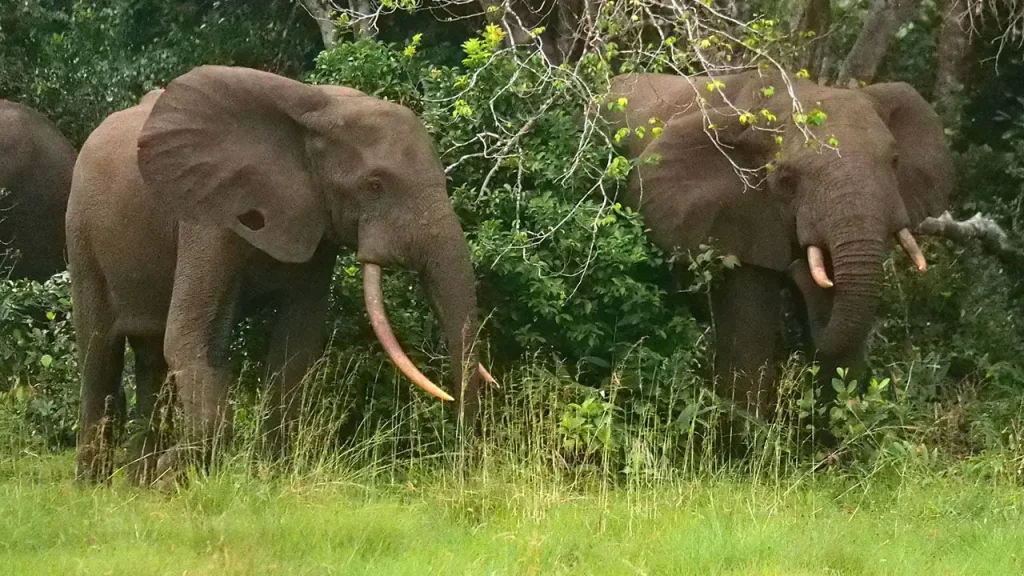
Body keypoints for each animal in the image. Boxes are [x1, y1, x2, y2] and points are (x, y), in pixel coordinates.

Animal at [68, 66, 490, 482]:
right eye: (374, 186)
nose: (464, 470)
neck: (319, 111)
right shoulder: (208, 216)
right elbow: (191, 337)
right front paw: (173, 471)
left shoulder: (316, 223)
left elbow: (297, 343)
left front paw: (271, 477)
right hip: (81, 233)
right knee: (99, 355)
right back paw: (95, 485)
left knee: (151, 359)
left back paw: (137, 486)